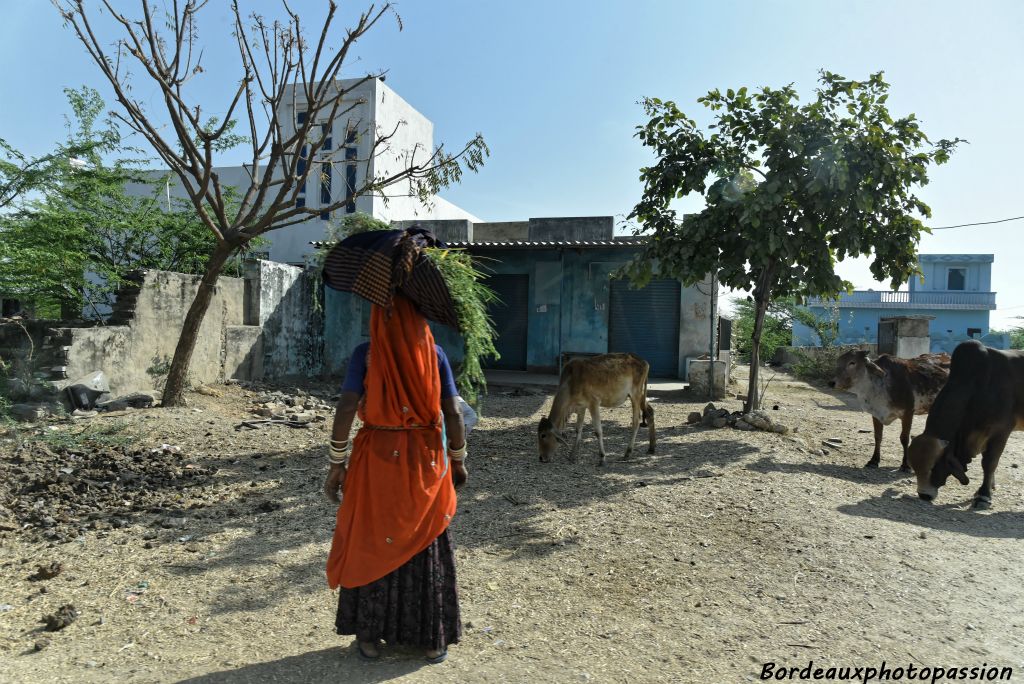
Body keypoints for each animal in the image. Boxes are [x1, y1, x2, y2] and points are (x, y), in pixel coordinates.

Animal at [909, 339, 1024, 507]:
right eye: (914, 467)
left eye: (933, 467)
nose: (924, 495)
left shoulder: (1000, 431)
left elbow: (989, 463)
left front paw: (984, 495)